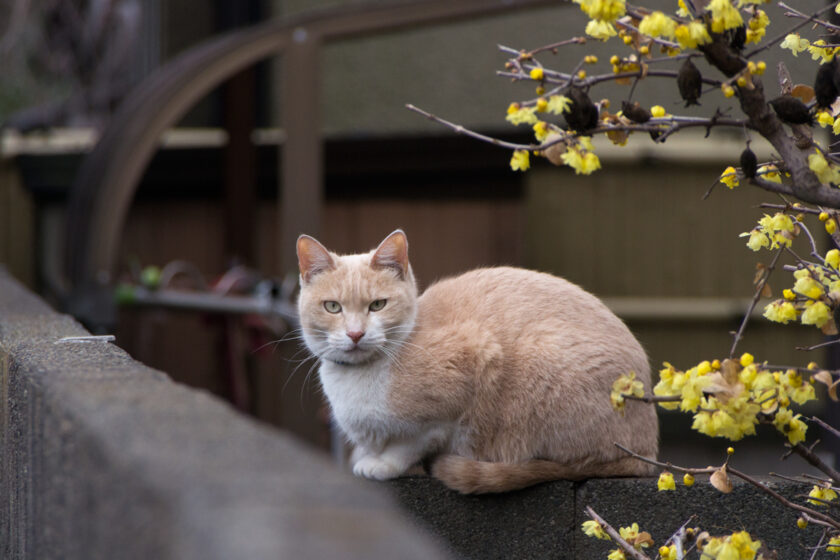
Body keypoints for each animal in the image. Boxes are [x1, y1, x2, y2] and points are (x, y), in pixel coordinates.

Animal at [298, 230, 660, 492]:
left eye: (377, 305)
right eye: (333, 307)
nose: (355, 333)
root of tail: (648, 454)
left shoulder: (467, 375)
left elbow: (411, 442)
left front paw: (382, 464)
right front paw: (365, 456)